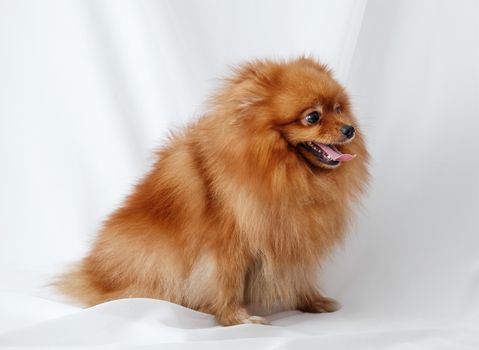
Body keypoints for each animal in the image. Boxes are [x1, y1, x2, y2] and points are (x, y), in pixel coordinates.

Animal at [57, 56, 372, 326]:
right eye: (312, 117)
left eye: (339, 109)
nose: (350, 129)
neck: (283, 171)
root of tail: (92, 274)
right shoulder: (228, 243)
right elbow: (227, 281)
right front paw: (237, 318)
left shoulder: (291, 232)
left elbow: (298, 274)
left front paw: (311, 301)